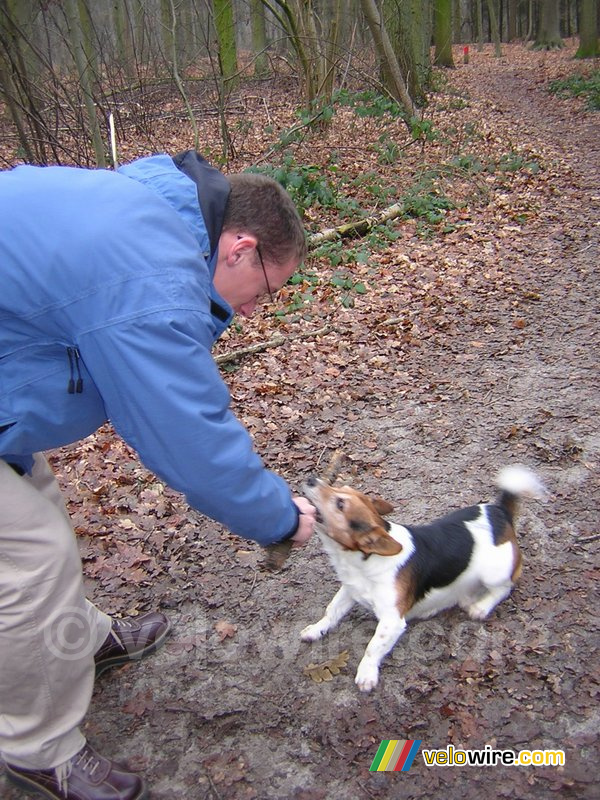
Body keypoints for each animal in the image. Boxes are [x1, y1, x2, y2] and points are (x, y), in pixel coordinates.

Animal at [302, 466, 548, 692]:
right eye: (340, 488)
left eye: (340, 504)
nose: (311, 478)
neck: (364, 561)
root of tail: (499, 512)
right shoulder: (349, 590)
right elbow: (331, 612)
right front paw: (316, 630)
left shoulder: (392, 621)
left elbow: (373, 647)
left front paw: (366, 673)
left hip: (494, 572)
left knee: (505, 587)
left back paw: (481, 606)